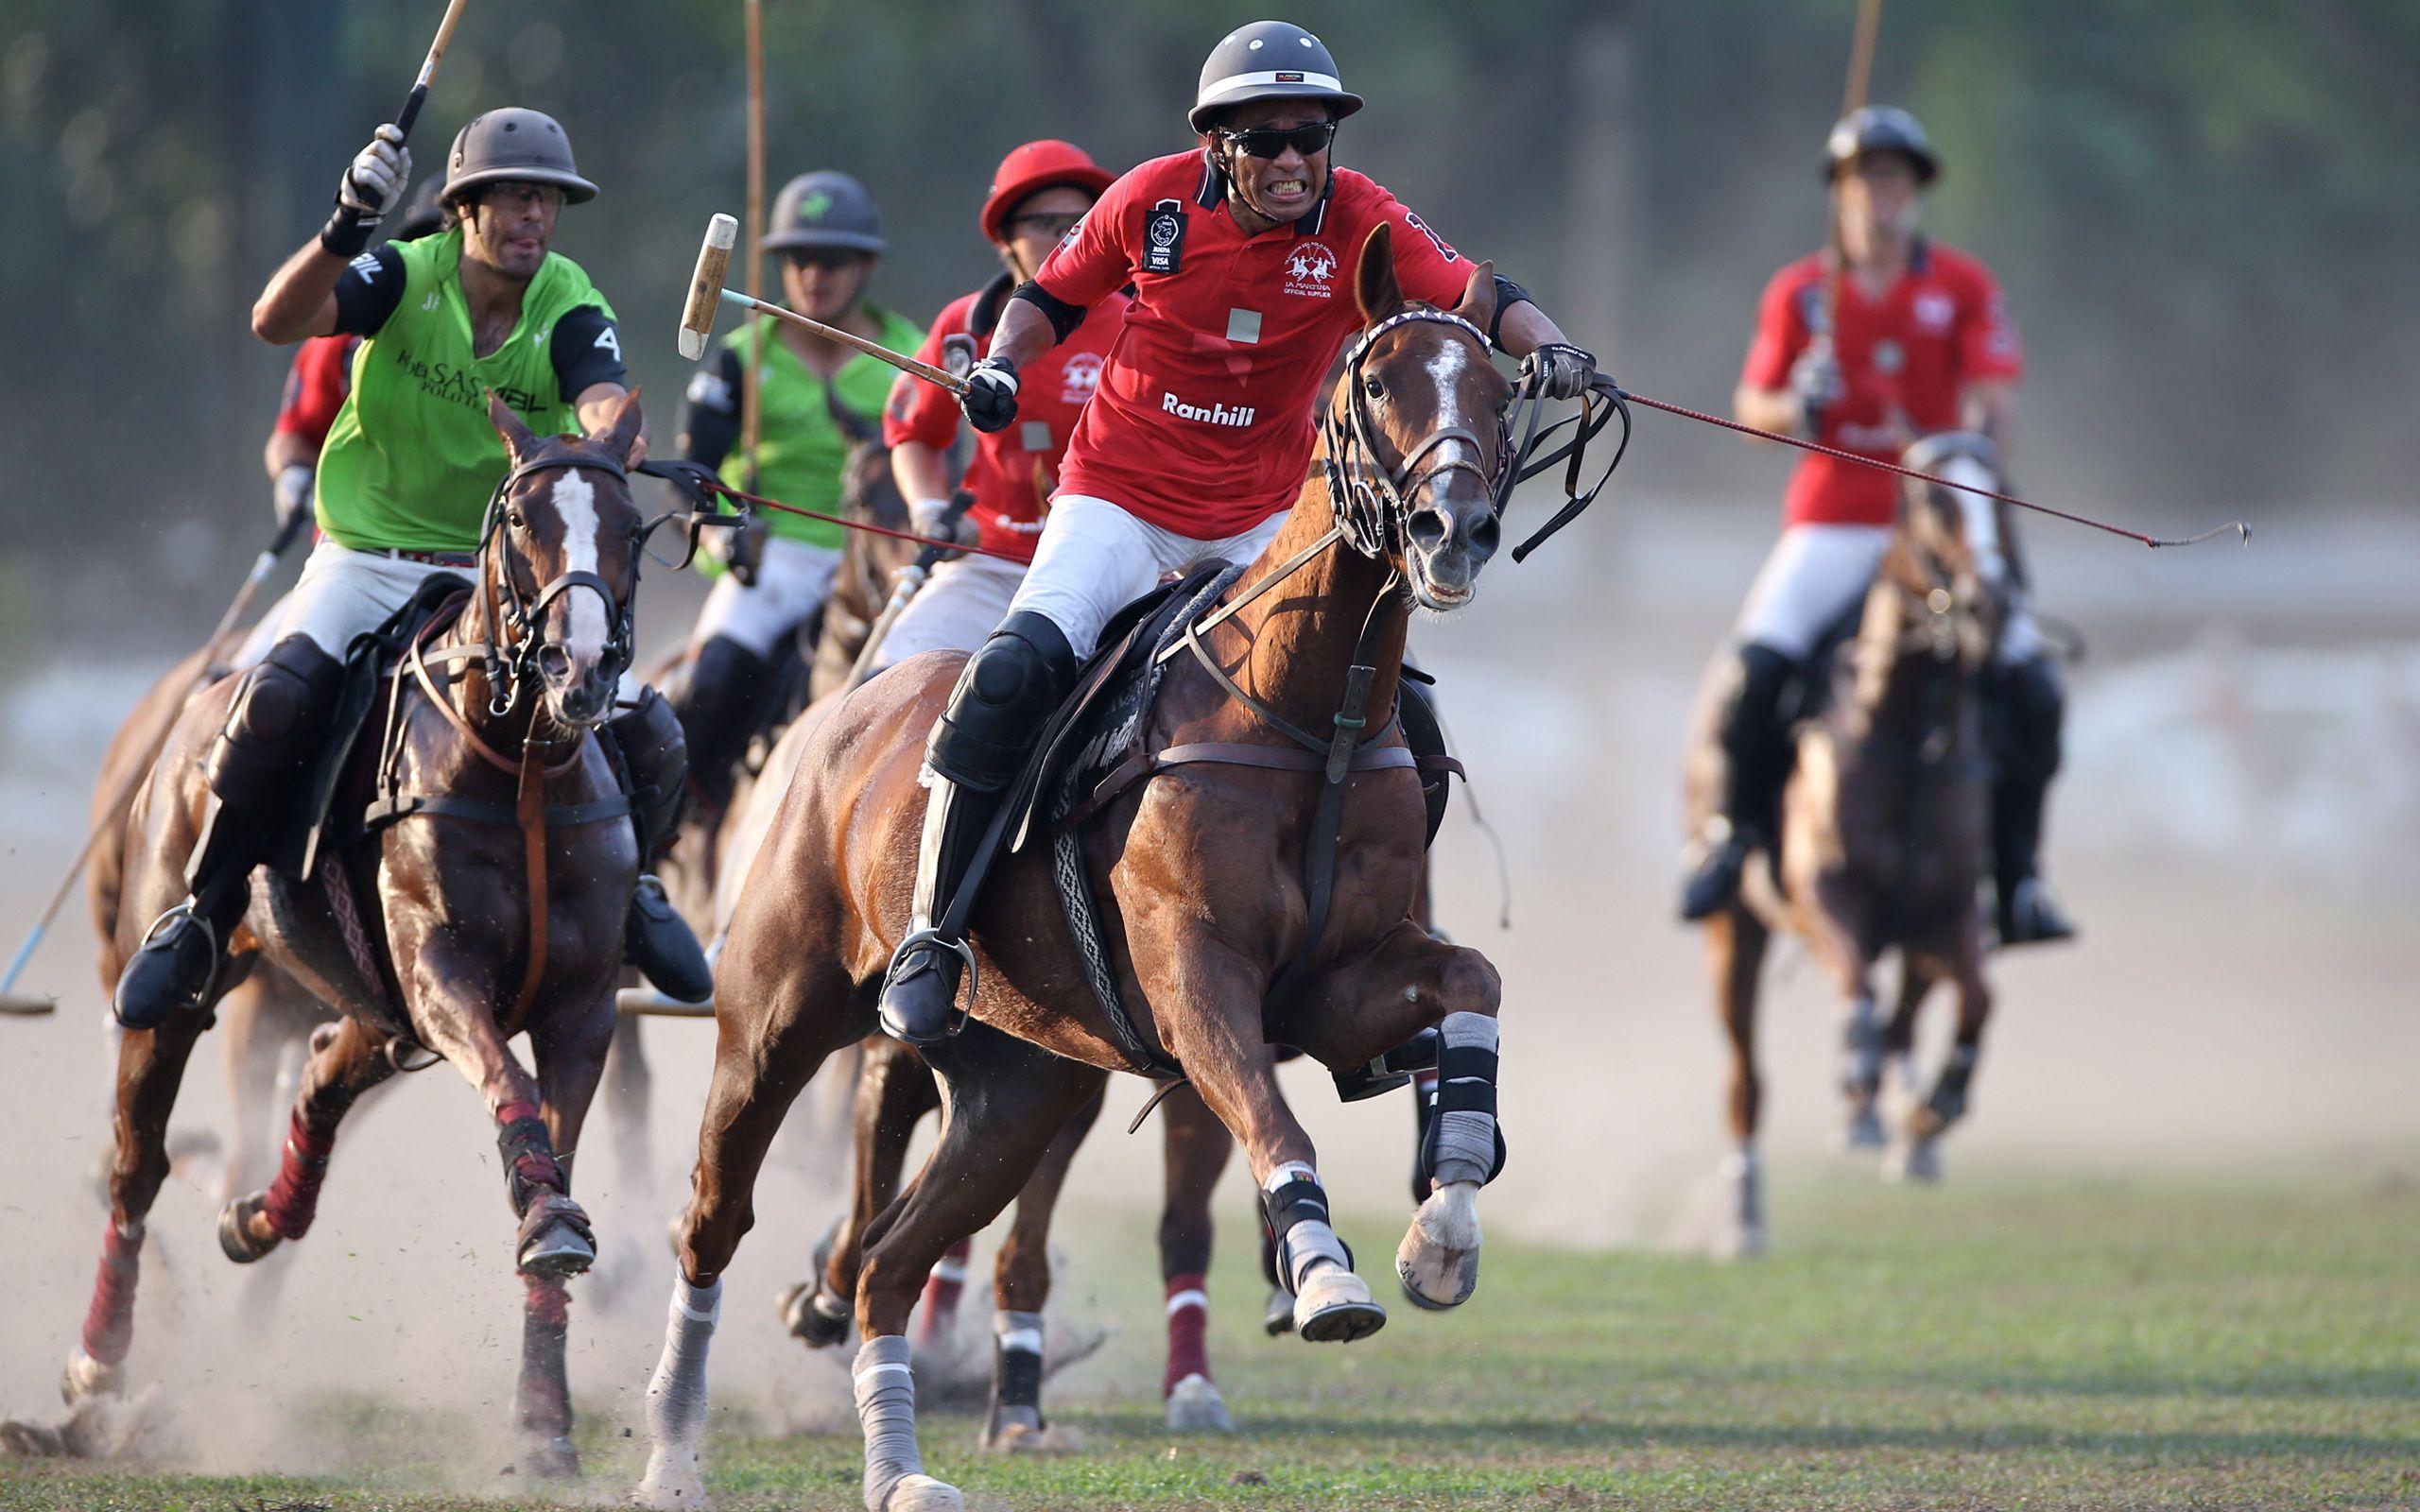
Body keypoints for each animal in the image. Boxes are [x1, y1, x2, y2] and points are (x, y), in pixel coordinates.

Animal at [64, 394, 658, 1470]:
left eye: (630, 526)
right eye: (521, 521)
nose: (582, 669)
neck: (520, 768)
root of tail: (193, 700)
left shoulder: (584, 1007)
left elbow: (553, 1149)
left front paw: (542, 1422)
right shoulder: (438, 973)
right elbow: (514, 1098)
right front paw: (549, 1222)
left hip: (371, 1015)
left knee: (317, 1081)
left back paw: (256, 1218)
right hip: (178, 987)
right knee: (136, 1164)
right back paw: (98, 1366)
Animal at [633, 227, 1519, 1509]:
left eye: (1500, 392)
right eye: (1378, 382)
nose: (1455, 531)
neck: (1311, 714)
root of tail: (841, 716)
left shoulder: (1331, 984)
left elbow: (1471, 984)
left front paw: (1440, 1233)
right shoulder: (1195, 975)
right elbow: (1276, 1121)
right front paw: (1324, 1273)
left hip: (1018, 1086)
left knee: (892, 1260)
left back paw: (898, 1470)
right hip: (774, 1018)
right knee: (714, 1218)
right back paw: (668, 1448)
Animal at [1694, 430, 2013, 1258]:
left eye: (2001, 489)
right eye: (1931, 496)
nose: (1990, 606)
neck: (1913, 735)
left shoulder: (1950, 911)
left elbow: (1977, 1000)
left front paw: (1938, 1100)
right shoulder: (1824, 894)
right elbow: (1860, 994)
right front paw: (1863, 1086)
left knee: (1911, 1010)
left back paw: (1910, 1127)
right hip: (1734, 929)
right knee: (1746, 1080)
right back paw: (1745, 1214)